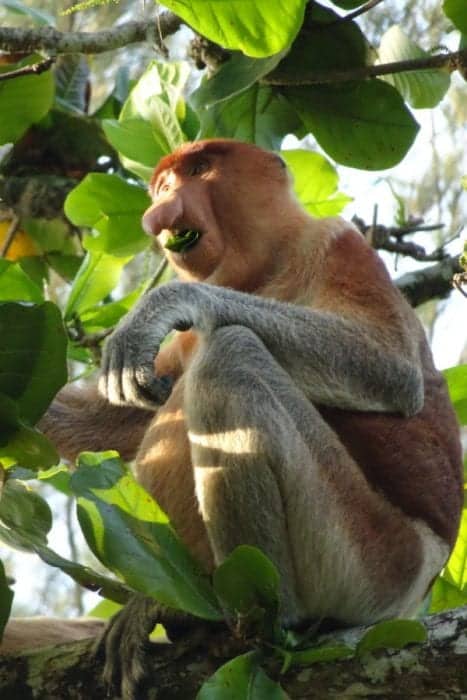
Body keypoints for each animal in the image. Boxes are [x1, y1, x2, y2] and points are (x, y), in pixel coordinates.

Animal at [0, 140, 462, 699]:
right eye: (163, 185)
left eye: (200, 170)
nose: (159, 213)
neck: (264, 270)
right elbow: (120, 419)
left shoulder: (336, 242)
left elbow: (390, 367)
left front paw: (165, 304)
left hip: (373, 561)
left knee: (232, 354)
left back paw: (252, 623)